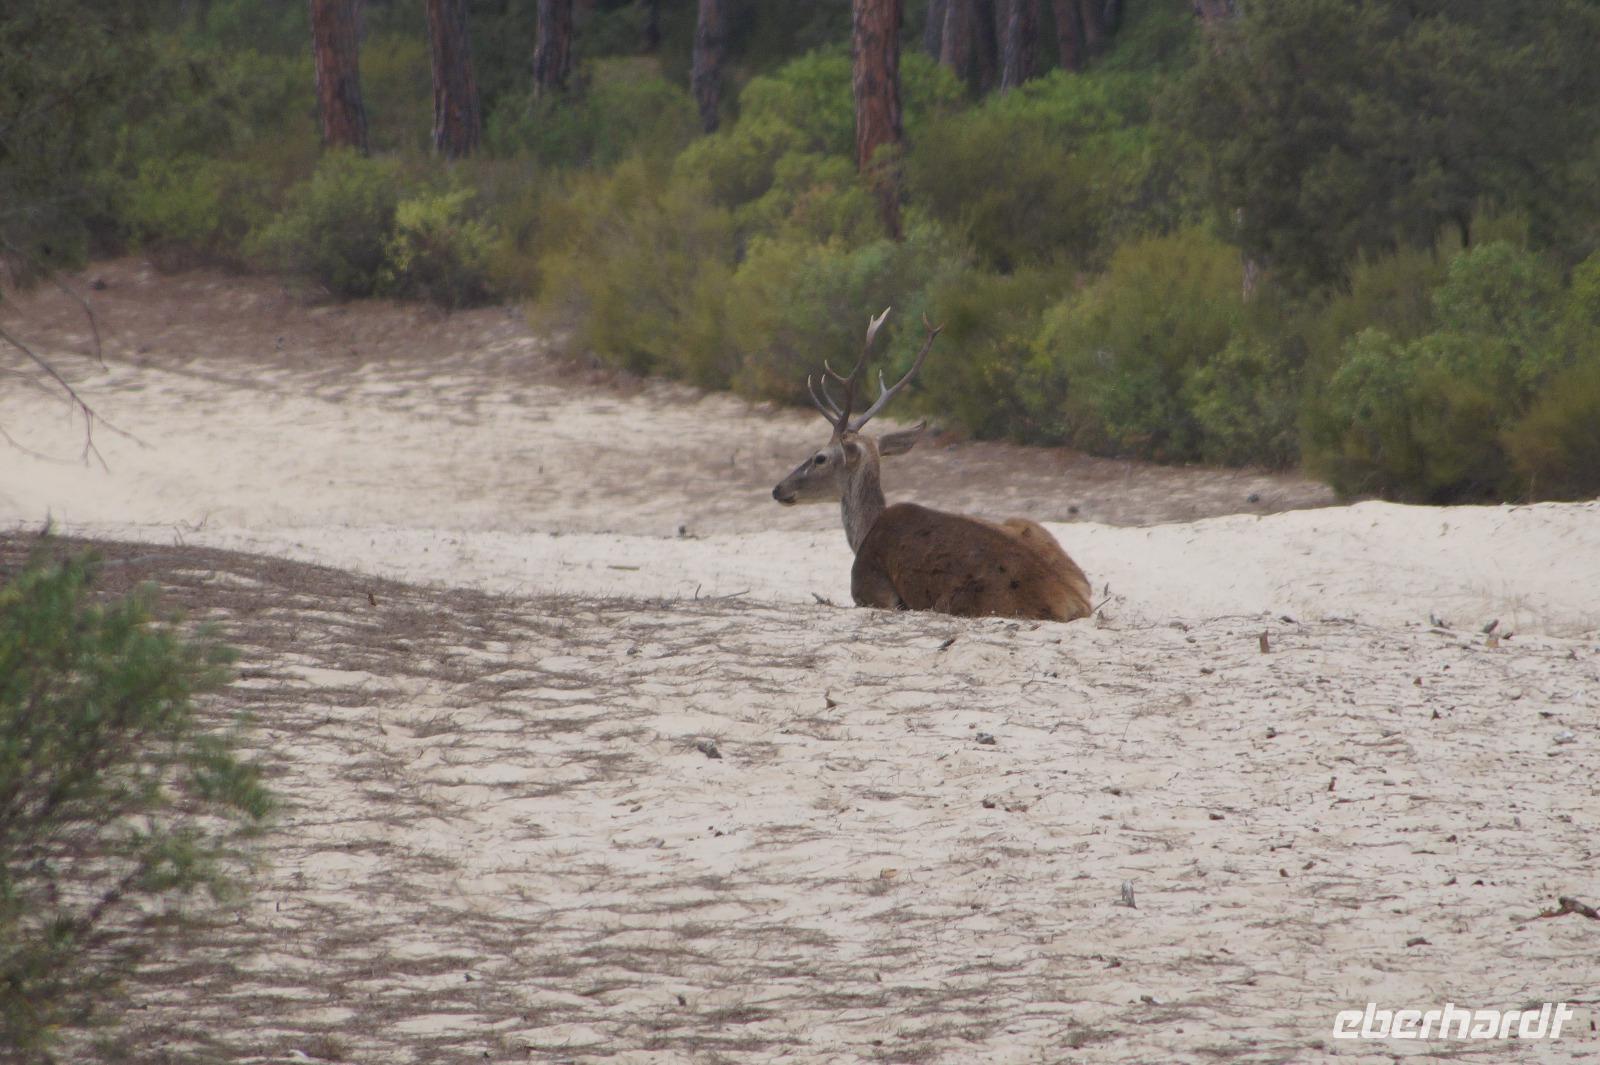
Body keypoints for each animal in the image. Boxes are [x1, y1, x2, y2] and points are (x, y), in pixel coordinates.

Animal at [771, 308, 1092, 622]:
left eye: (820, 457)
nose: (778, 489)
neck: (865, 533)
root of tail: (1073, 600)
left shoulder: (870, 588)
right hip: (1029, 528)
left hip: (959, 599)